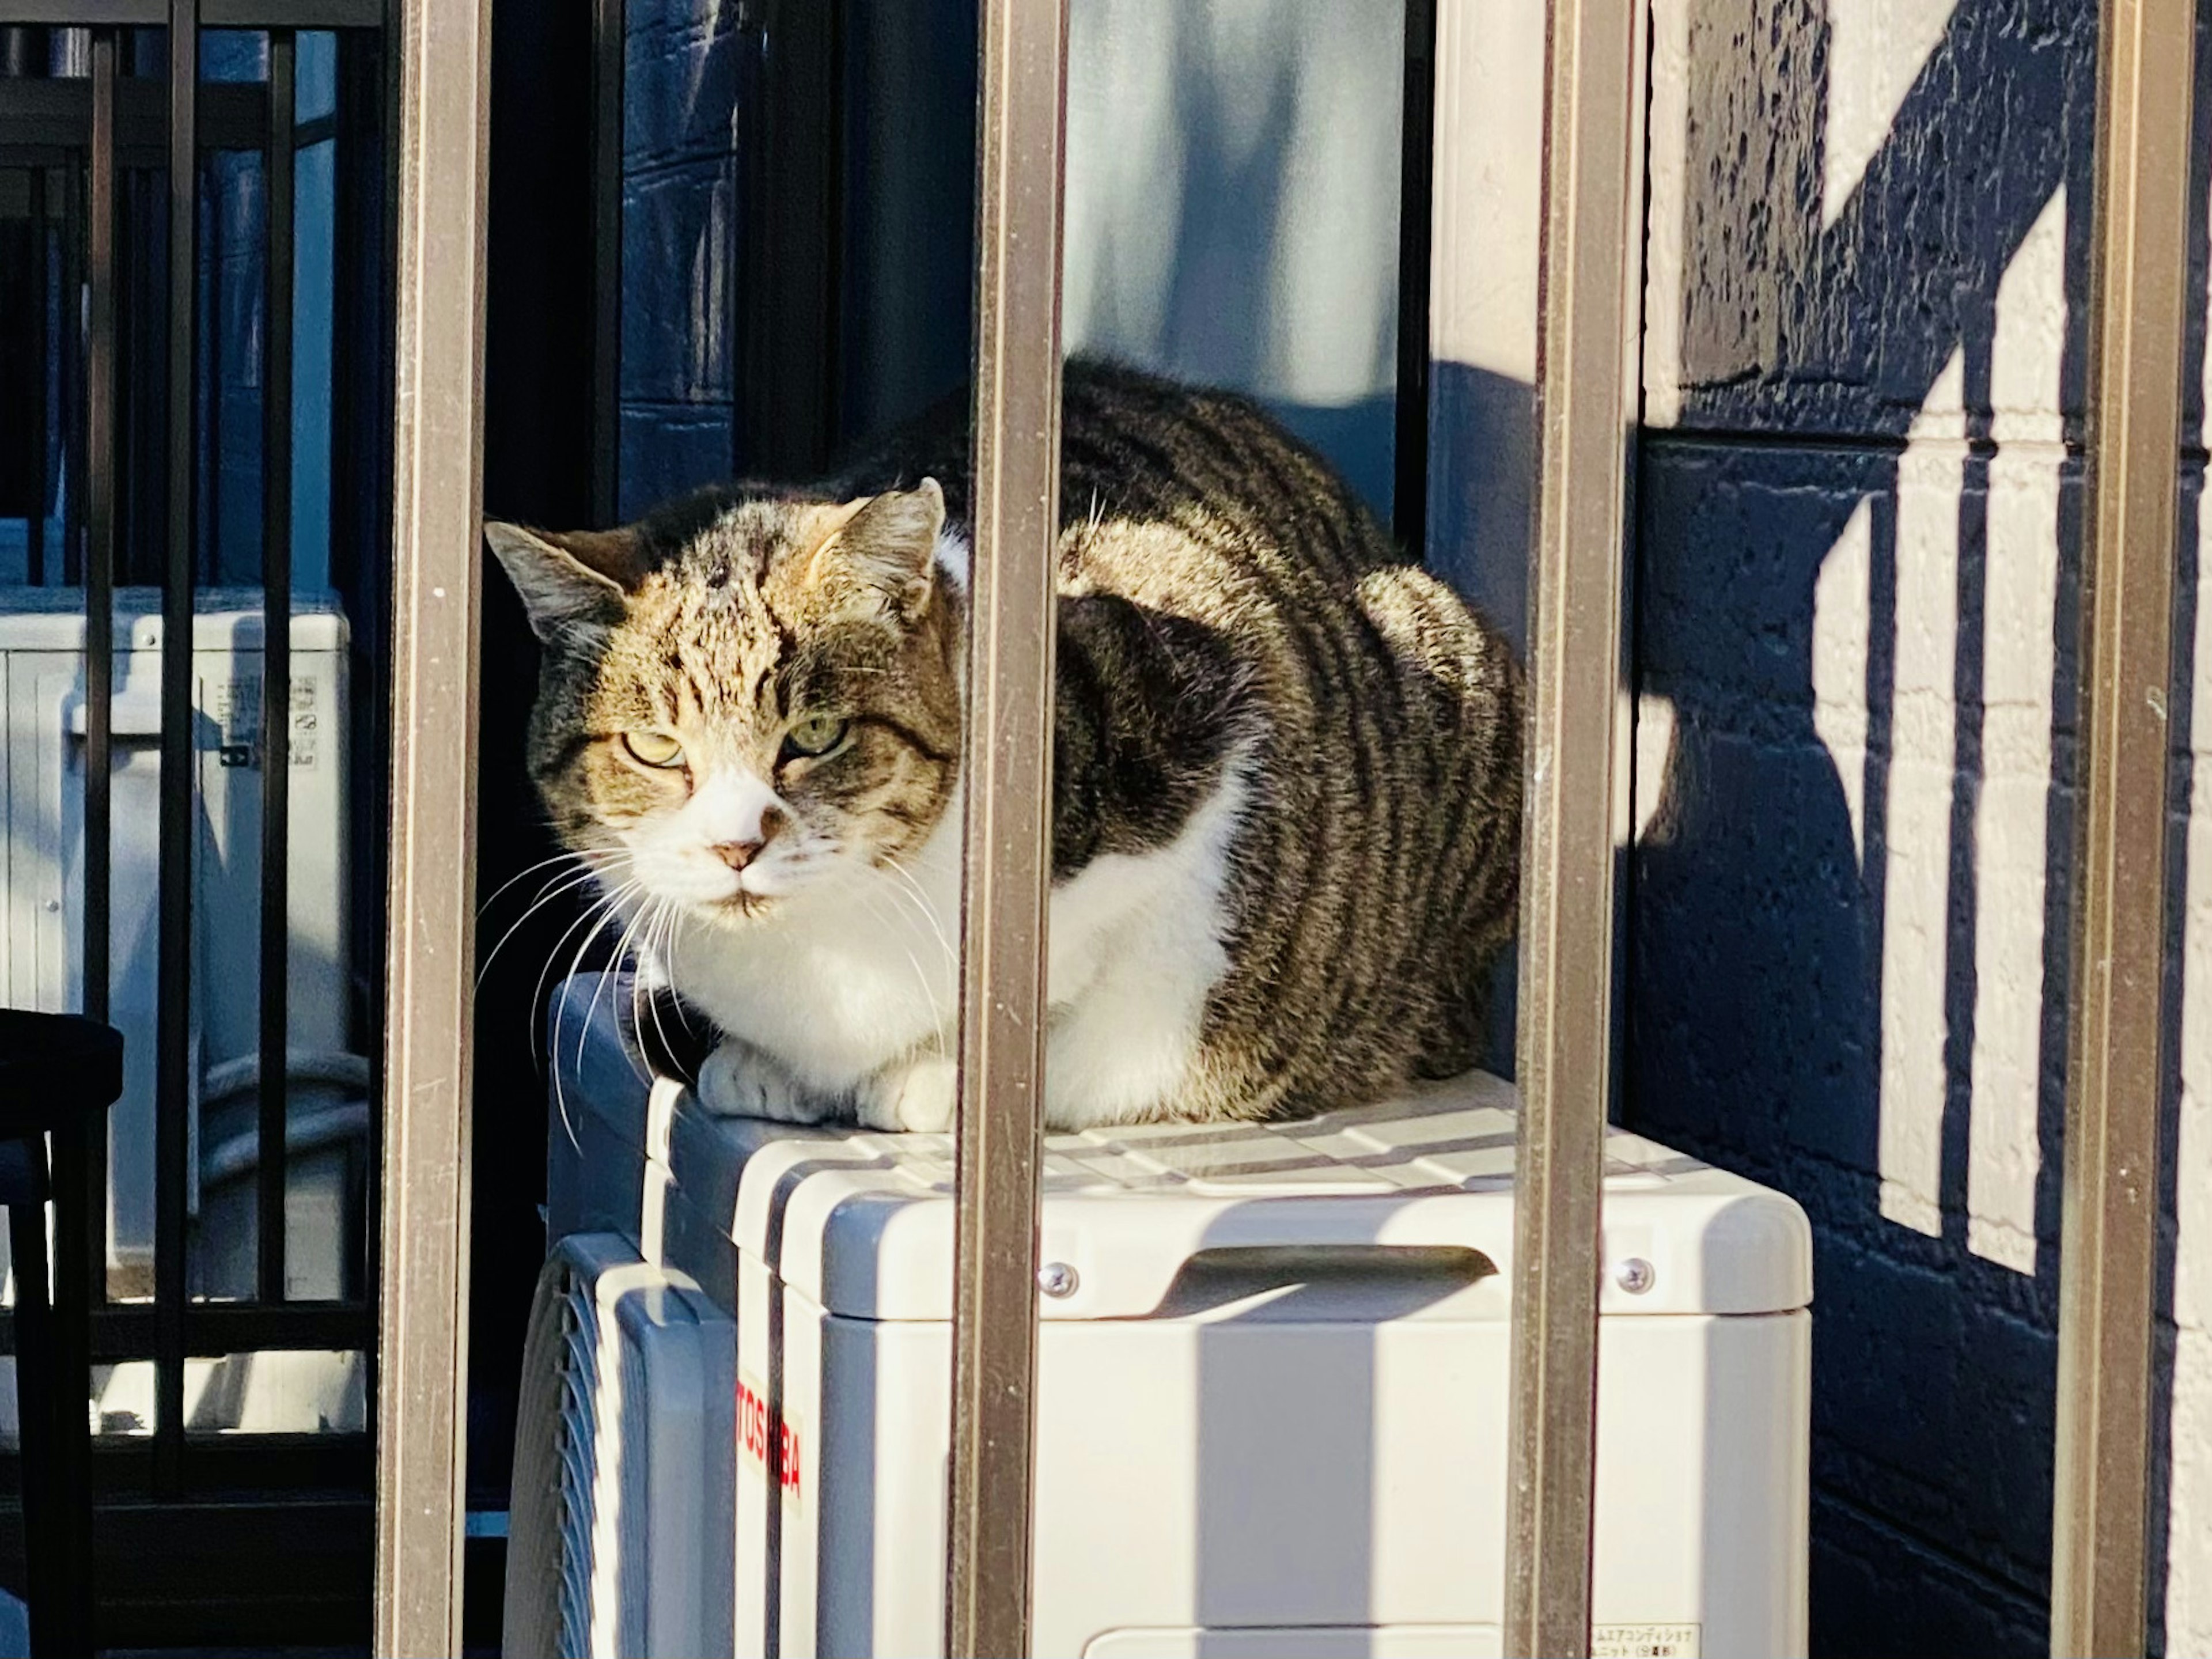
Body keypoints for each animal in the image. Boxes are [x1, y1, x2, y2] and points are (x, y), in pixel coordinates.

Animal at [484, 362, 1521, 1141]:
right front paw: (758, 1063)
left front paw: (944, 1070)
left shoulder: (1214, 723)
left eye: (815, 735)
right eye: (656, 746)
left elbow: (1091, 973)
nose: (735, 845)